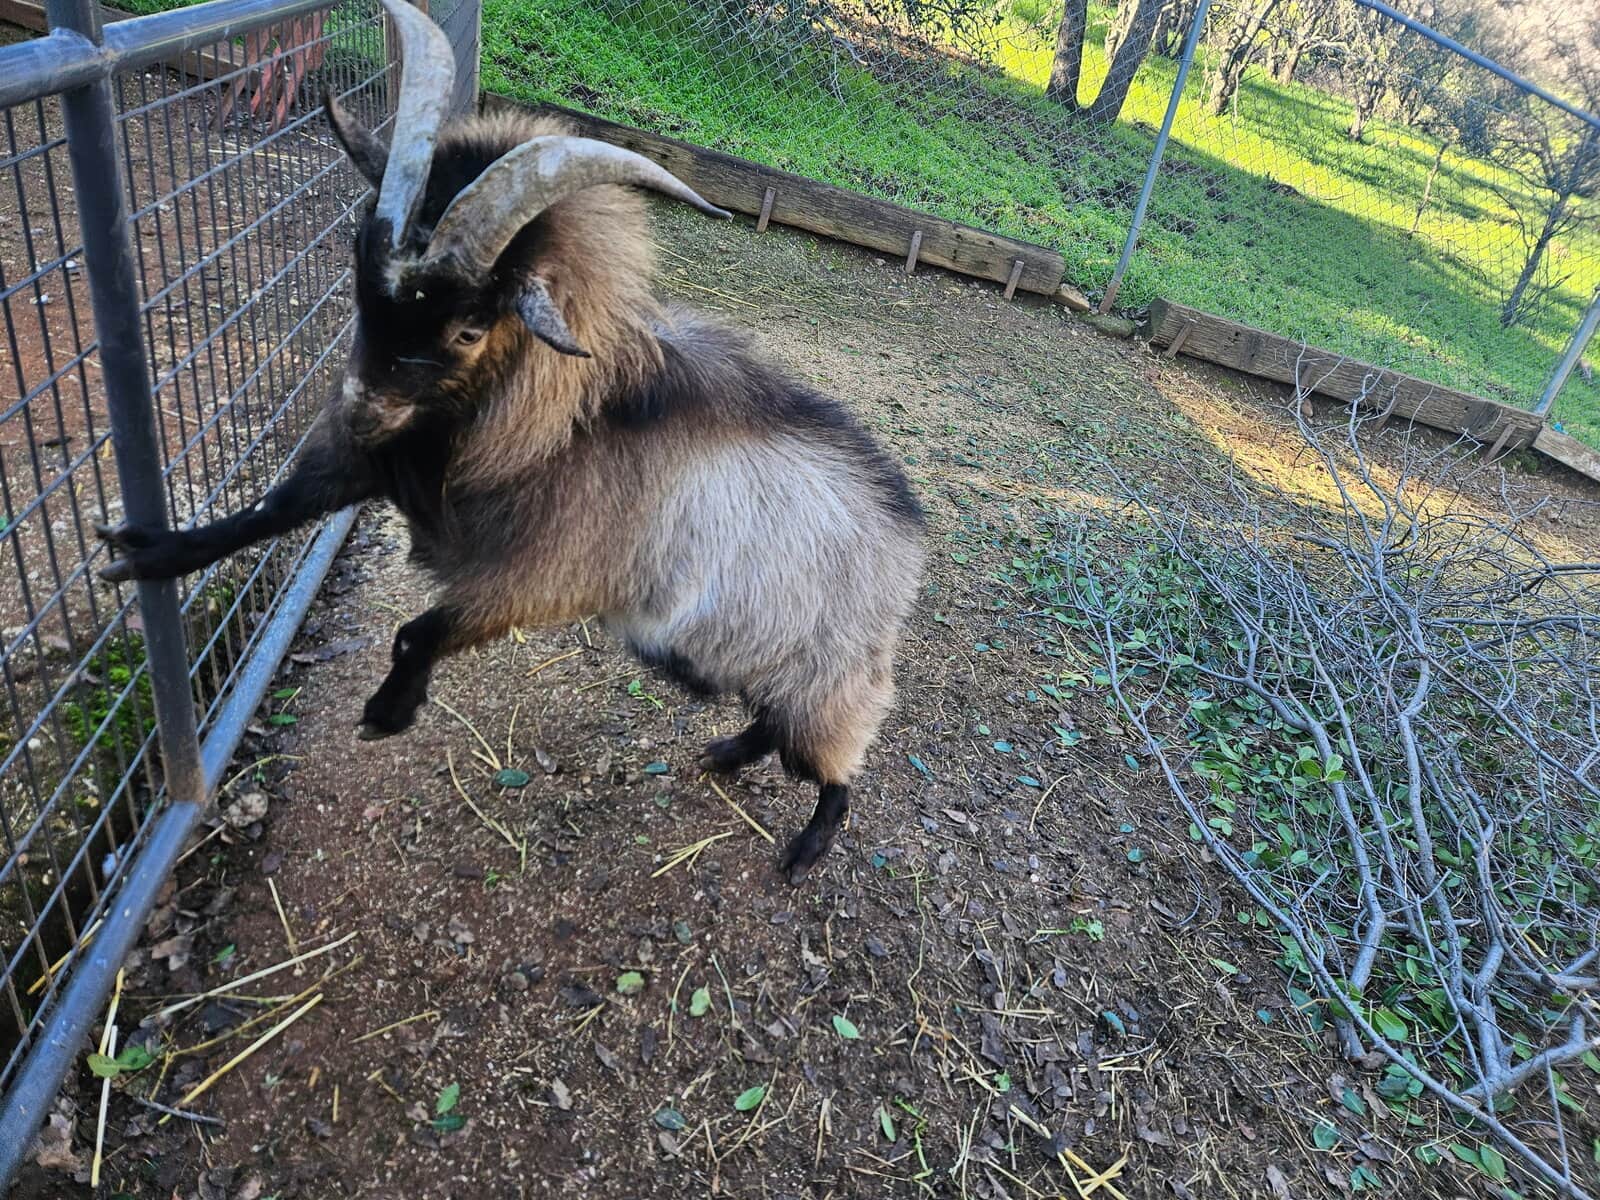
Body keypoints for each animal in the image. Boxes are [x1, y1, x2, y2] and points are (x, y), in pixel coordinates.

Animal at [96, 0, 925, 883]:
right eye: (356, 269)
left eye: (468, 326)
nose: (355, 412)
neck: (560, 417)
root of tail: (910, 534)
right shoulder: (387, 462)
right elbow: (270, 511)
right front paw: (146, 553)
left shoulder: (541, 575)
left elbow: (419, 629)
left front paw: (388, 711)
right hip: (743, 655)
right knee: (769, 722)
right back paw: (726, 754)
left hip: (831, 679)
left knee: (835, 769)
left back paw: (805, 849)